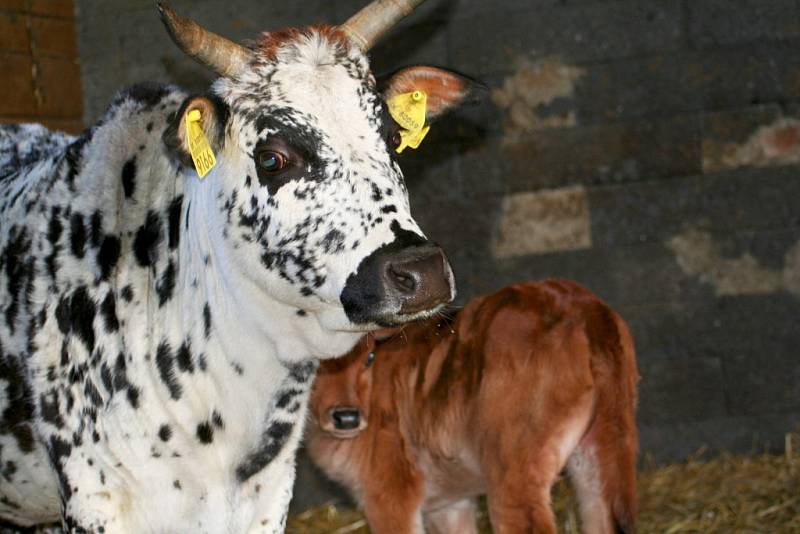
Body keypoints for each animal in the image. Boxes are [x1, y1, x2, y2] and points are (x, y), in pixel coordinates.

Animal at [304, 282, 640, 532]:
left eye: (369, 357)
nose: (347, 417)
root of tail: (581, 304)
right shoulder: (449, 504)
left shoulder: (389, 495)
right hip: (601, 448)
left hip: (514, 472)